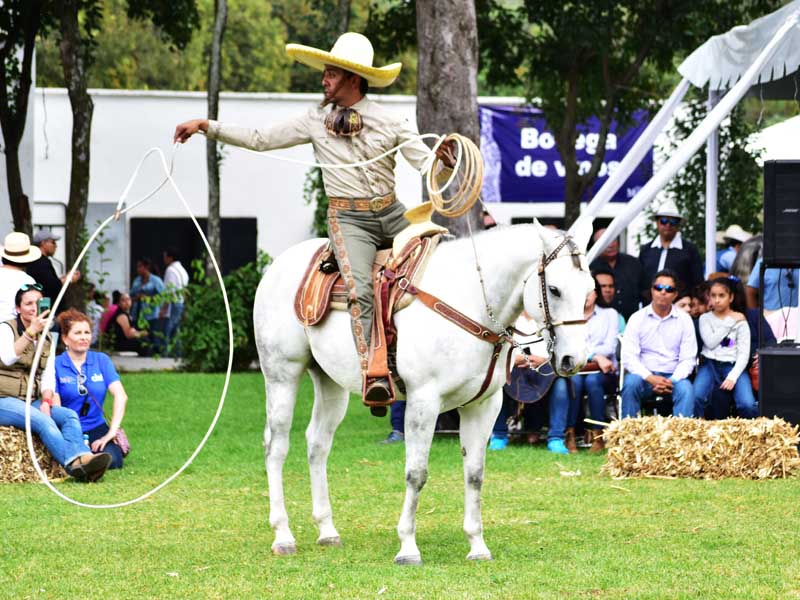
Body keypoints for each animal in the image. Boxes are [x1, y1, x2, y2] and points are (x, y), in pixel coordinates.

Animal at [255, 218, 592, 564]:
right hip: (282, 374)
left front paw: (477, 546)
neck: (470, 299)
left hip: (329, 383)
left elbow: (475, 474)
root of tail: (279, 264)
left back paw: (327, 530)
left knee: (318, 443)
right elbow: (416, 473)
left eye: (589, 290)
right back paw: (283, 535)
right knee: (276, 446)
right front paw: (407, 547)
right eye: (554, 289)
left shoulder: (484, 406)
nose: (573, 360)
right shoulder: (423, 401)